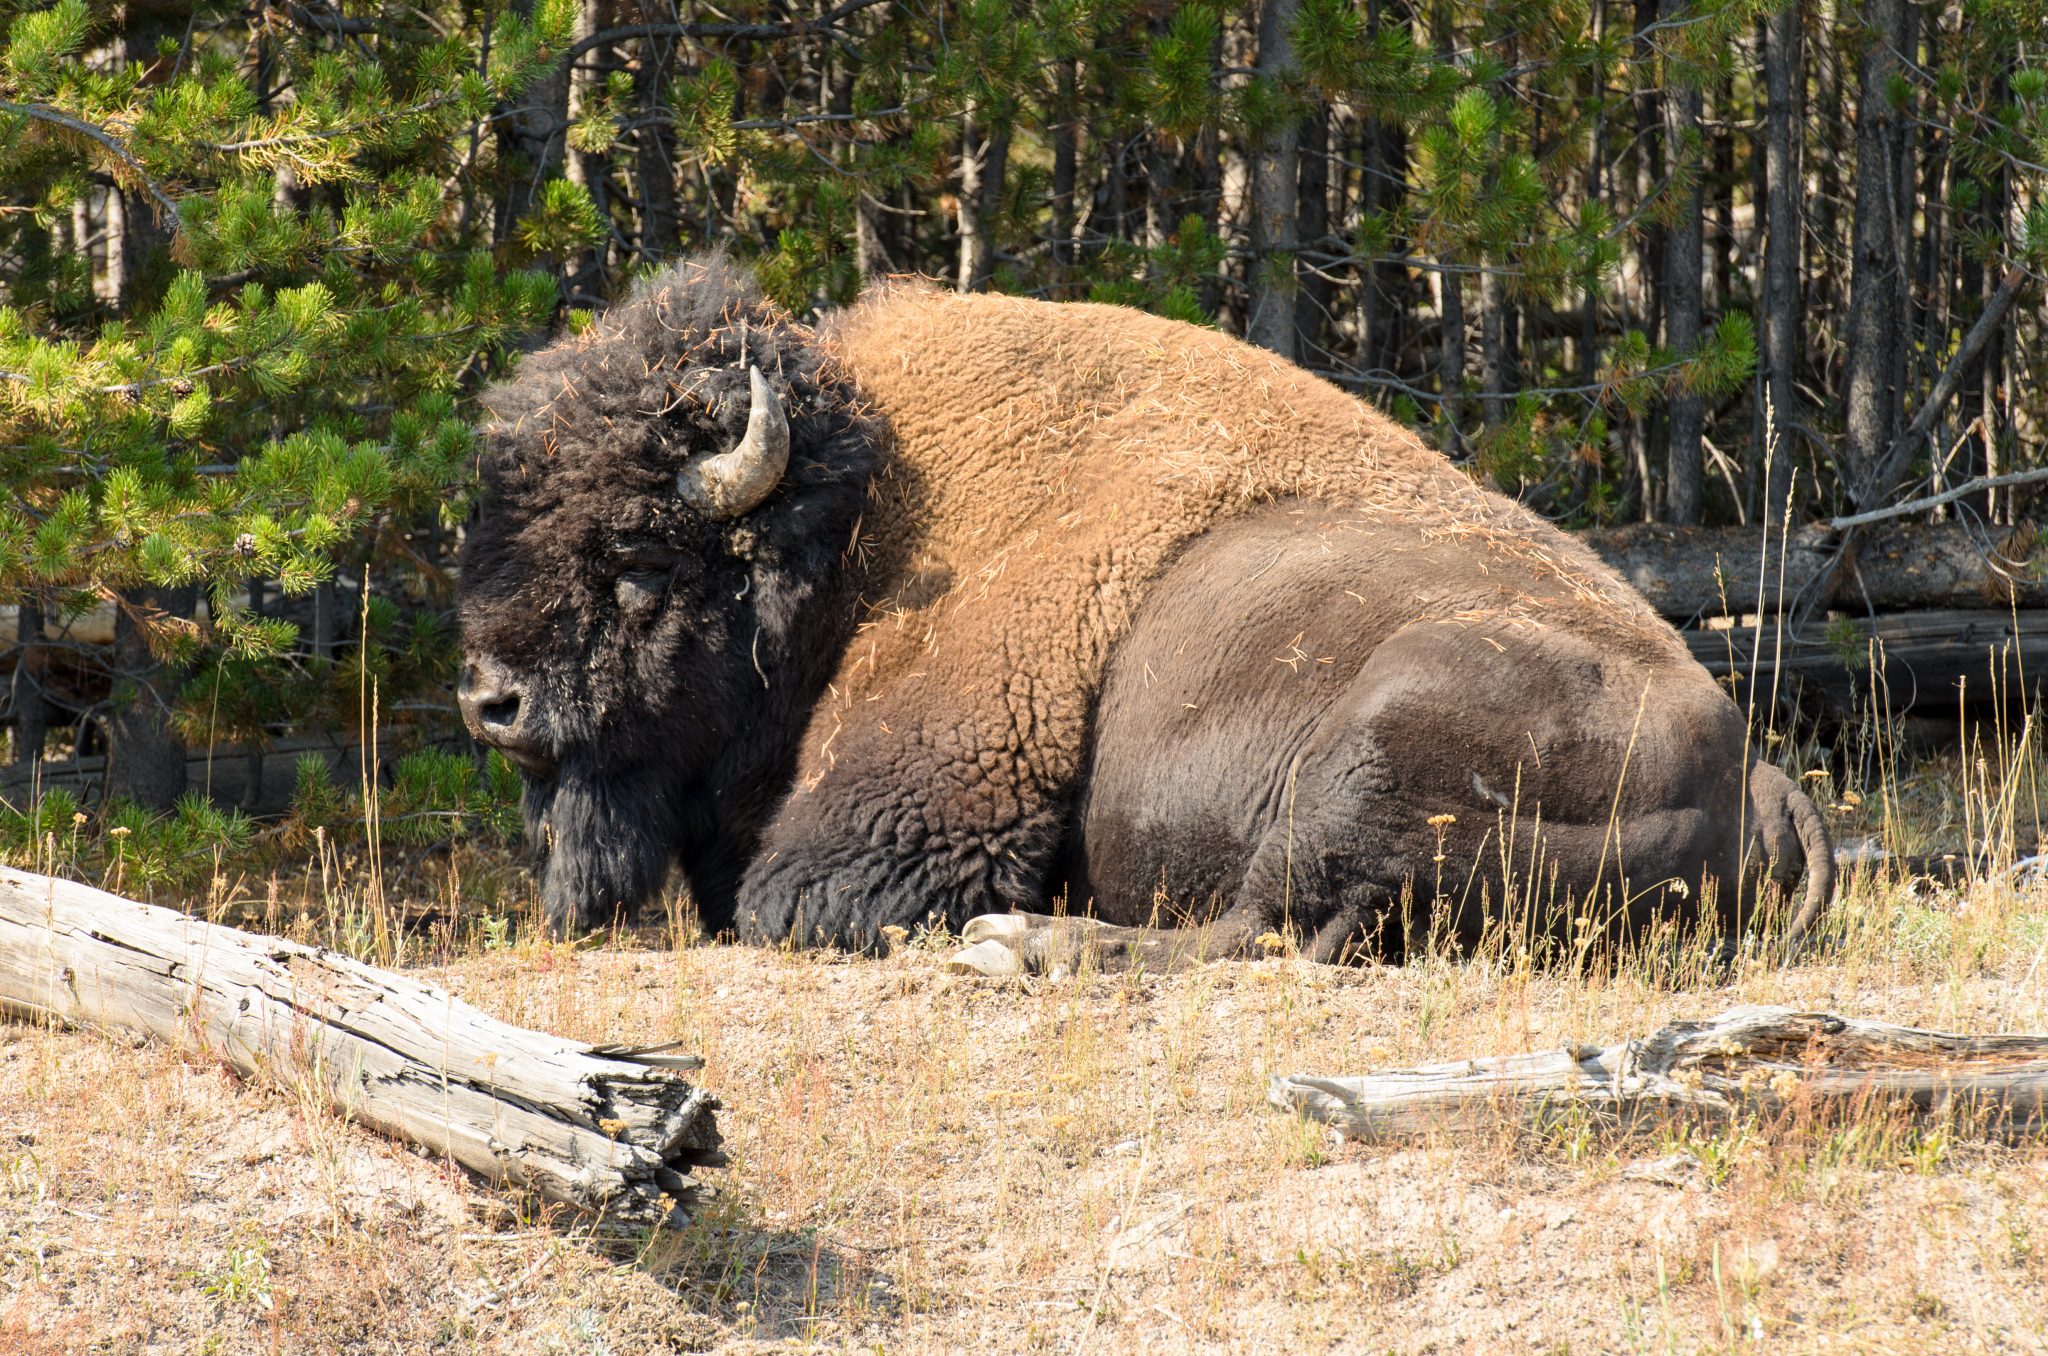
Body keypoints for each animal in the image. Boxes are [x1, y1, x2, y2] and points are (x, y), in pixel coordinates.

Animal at [456, 255, 1835, 970]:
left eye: (641, 559)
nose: (491, 702)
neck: (859, 525)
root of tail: (1758, 780)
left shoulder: (906, 808)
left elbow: (790, 905)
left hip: (1371, 746)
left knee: (1251, 934)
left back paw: (1020, 943)